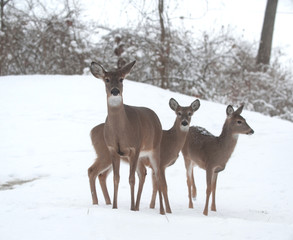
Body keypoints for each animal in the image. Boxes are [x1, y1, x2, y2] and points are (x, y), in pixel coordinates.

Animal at [89, 61, 167, 215]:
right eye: (107, 79)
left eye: (121, 79)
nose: (115, 91)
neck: (121, 131)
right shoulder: (113, 149)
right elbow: (116, 178)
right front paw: (114, 207)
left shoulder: (134, 148)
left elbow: (131, 179)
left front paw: (130, 209)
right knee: (142, 173)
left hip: (154, 148)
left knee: (157, 175)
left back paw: (161, 211)